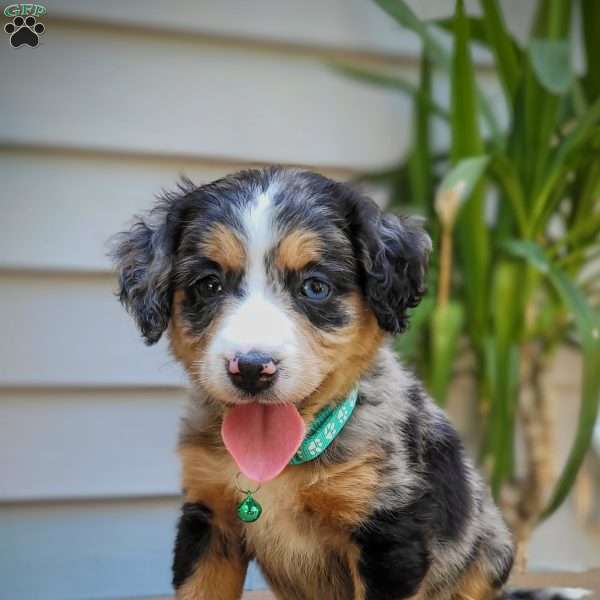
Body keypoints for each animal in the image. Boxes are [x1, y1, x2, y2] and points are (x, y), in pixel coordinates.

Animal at [110, 168, 584, 600]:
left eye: (315, 287)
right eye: (209, 284)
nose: (250, 369)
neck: (283, 467)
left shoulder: (388, 537)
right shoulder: (209, 518)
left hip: (489, 554)